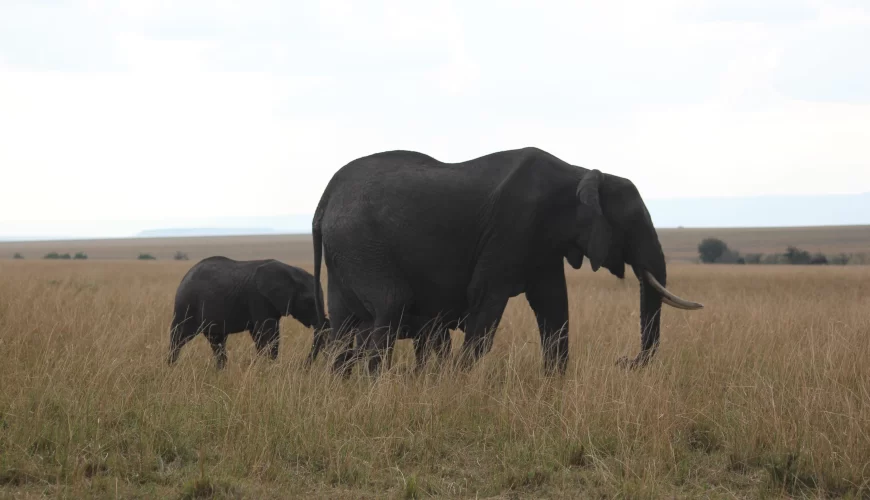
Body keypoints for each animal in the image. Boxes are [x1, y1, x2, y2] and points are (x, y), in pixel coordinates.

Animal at [167, 256, 330, 369]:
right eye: (309, 302)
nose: (304, 366)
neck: (291, 272)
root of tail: (185, 277)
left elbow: (263, 336)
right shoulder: (258, 298)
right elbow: (268, 334)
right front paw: (269, 368)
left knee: (217, 340)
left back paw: (220, 371)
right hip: (186, 304)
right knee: (179, 336)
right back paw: (171, 367)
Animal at [311, 147, 703, 376]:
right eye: (632, 223)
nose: (624, 362)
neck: (580, 174)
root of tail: (325, 197)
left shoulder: (542, 241)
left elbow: (554, 306)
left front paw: (554, 383)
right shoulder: (513, 226)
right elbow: (485, 301)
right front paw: (458, 383)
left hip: (347, 252)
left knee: (345, 324)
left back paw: (341, 383)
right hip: (363, 244)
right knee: (390, 307)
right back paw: (371, 384)